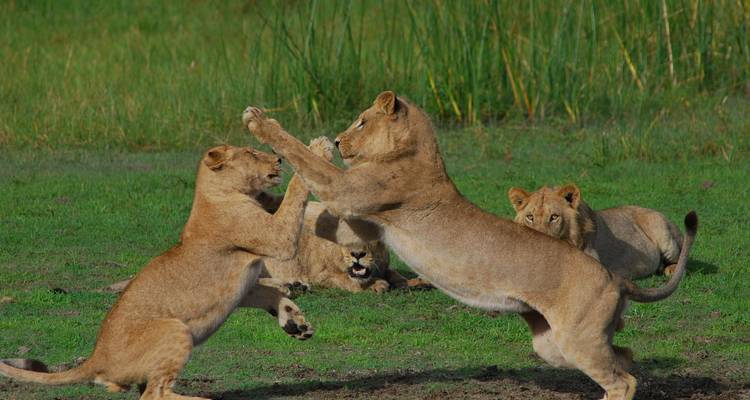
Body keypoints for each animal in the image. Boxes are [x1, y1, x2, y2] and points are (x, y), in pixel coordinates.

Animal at [0, 140, 332, 399]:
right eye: (251, 152)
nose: (277, 159)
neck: (216, 193)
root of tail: (96, 358)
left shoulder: (245, 284)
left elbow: (268, 294)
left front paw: (294, 321)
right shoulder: (278, 237)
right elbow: (296, 190)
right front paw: (317, 149)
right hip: (175, 328)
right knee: (153, 394)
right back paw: (201, 398)